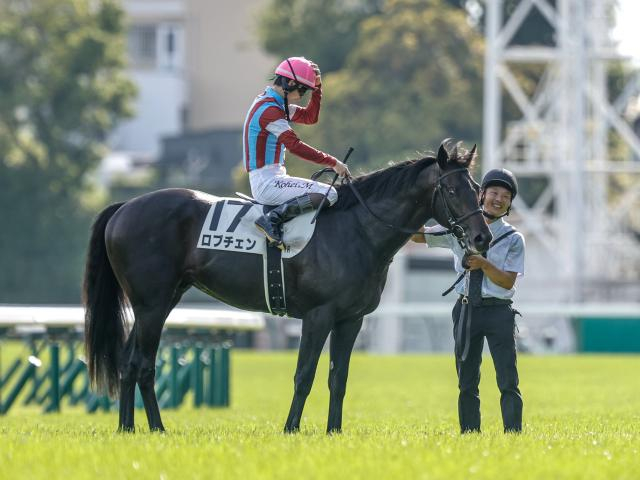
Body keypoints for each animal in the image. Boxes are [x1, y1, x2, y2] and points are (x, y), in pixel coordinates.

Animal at [83, 141, 491, 434]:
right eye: (451, 190)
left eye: (475, 188)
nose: (482, 237)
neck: (357, 230)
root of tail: (125, 206)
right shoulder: (318, 315)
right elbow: (304, 375)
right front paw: (291, 429)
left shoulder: (351, 320)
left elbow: (338, 378)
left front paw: (334, 432)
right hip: (152, 306)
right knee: (142, 365)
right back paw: (155, 428)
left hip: (156, 304)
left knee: (128, 363)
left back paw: (128, 428)